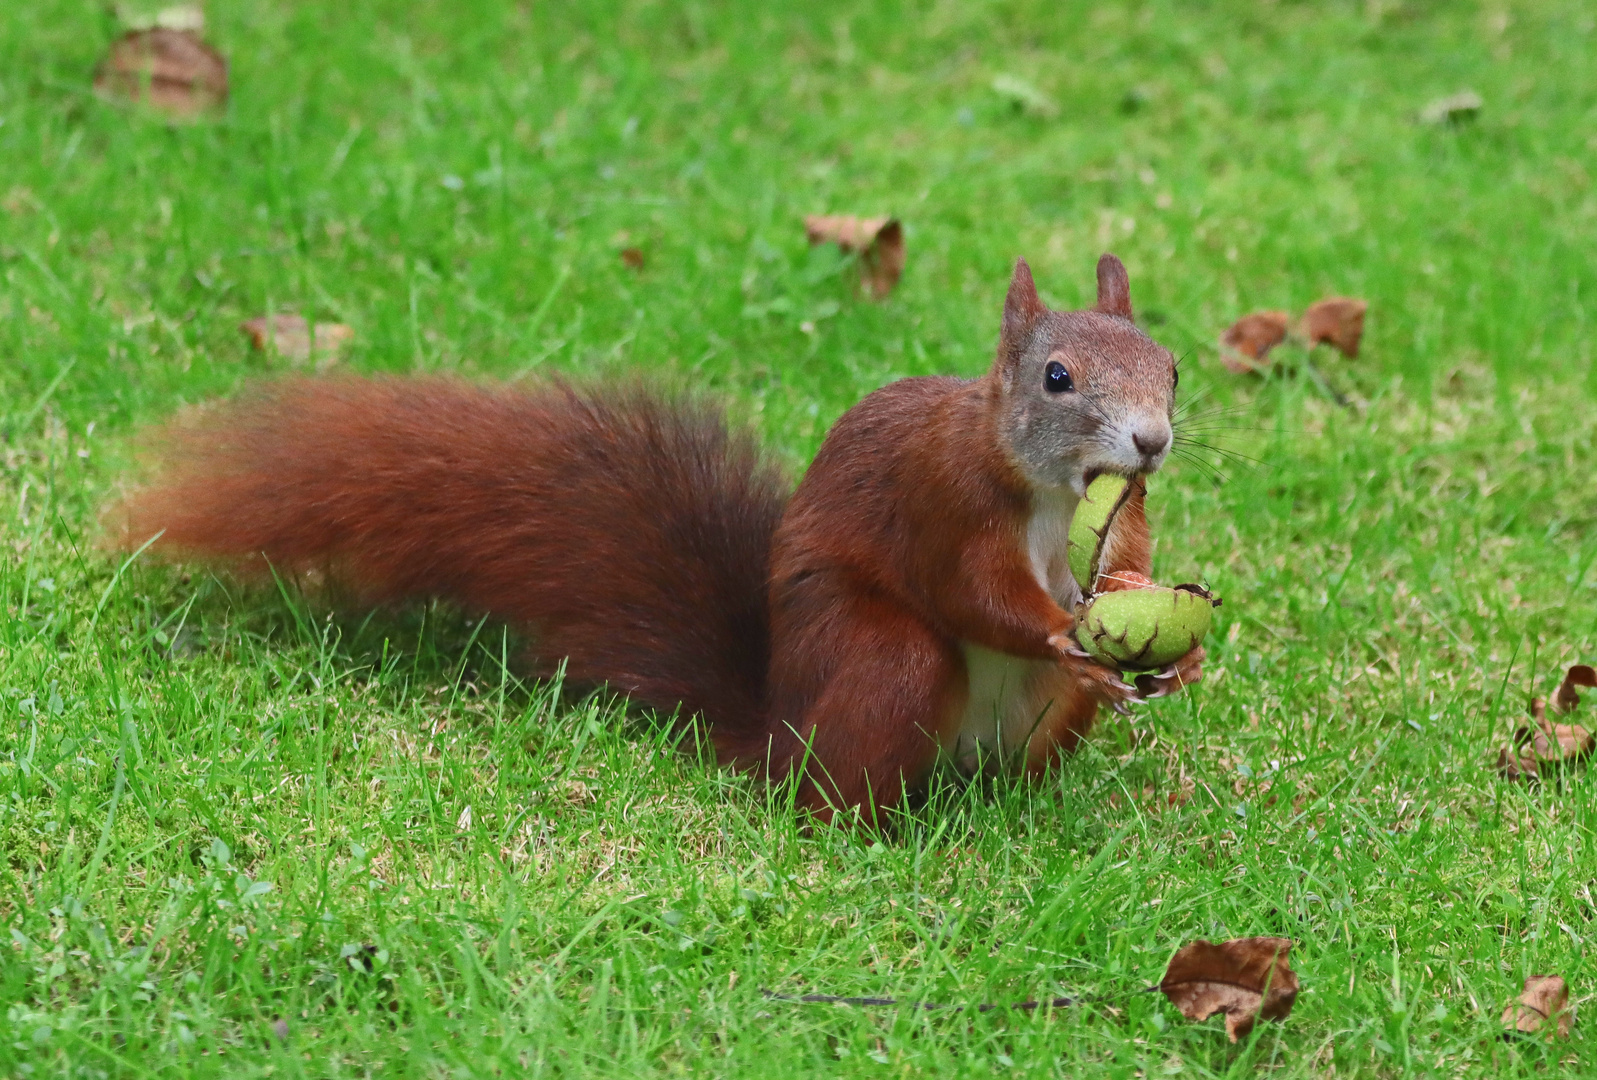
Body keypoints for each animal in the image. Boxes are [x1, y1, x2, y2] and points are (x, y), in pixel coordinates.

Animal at [112, 255, 1200, 824]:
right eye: (1056, 378)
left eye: (1172, 367)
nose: (1149, 441)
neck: (1054, 493)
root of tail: (776, 732)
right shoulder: (943, 502)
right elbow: (972, 590)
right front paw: (1060, 629)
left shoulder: (1121, 515)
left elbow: (1128, 559)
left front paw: (1165, 642)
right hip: (878, 659)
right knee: (846, 765)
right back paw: (879, 824)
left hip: (1035, 721)